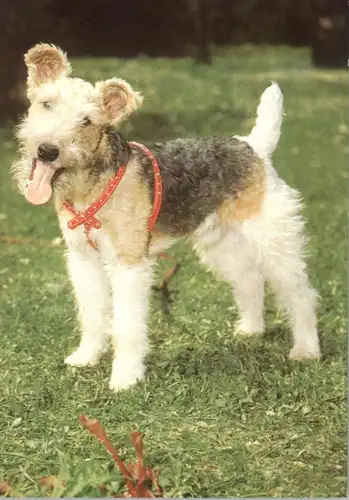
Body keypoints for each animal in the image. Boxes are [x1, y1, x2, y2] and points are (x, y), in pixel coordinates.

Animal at [12, 43, 320, 392]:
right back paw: (250, 330)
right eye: (46, 103)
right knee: (250, 281)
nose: (47, 151)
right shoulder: (83, 259)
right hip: (222, 244)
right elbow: (92, 314)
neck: (91, 185)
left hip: (274, 240)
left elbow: (126, 326)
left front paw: (125, 378)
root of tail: (254, 147)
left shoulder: (129, 264)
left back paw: (306, 350)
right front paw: (86, 357)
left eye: (87, 121)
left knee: (301, 294)